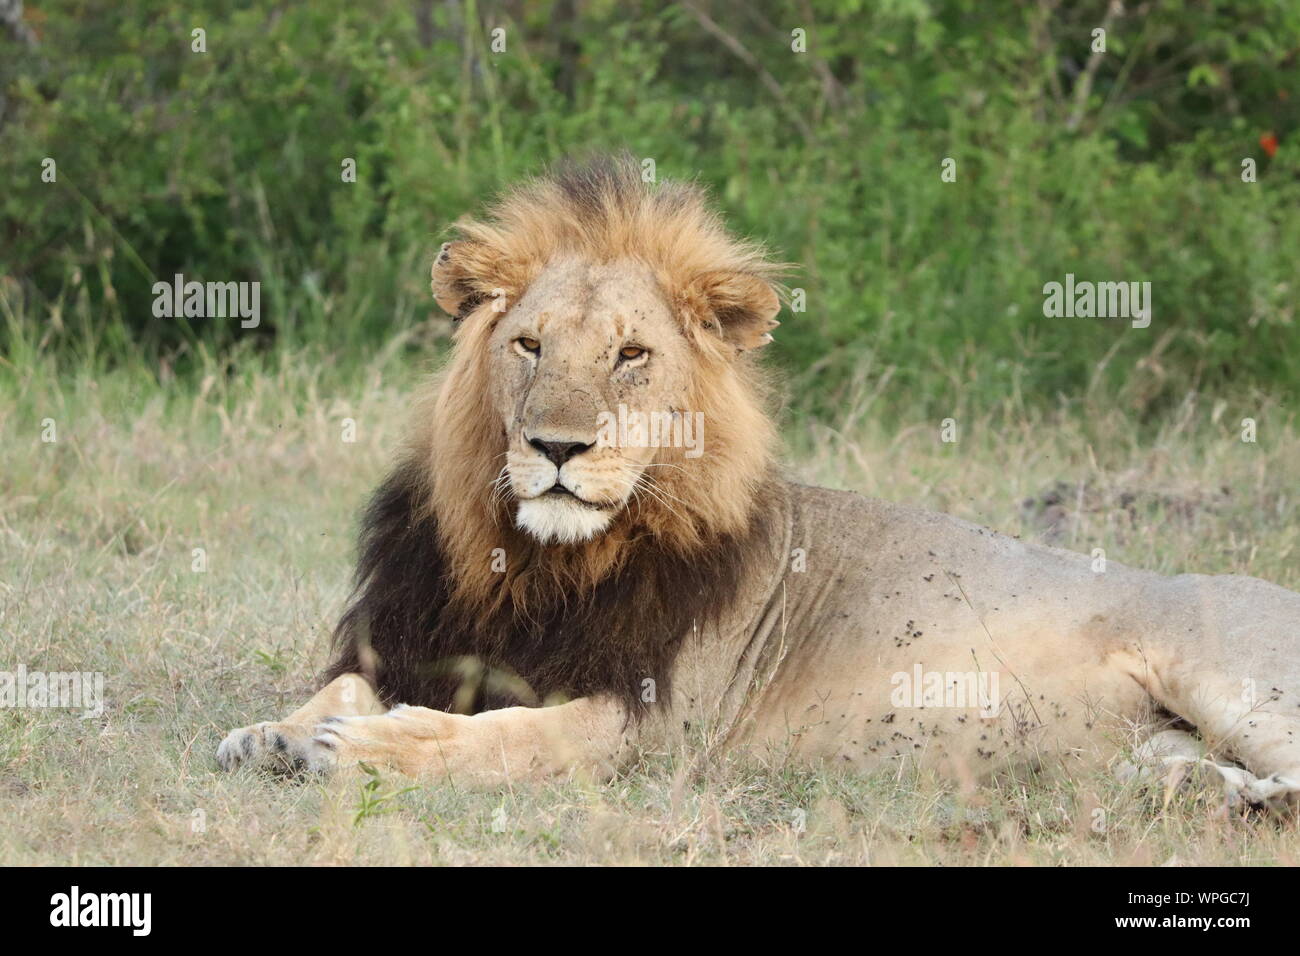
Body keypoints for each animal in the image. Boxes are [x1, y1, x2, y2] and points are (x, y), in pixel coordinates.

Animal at [215, 157, 1300, 806]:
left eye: (631, 356)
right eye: (529, 345)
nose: (557, 447)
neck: (537, 564)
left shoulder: (659, 726)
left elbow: (510, 738)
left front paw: (362, 749)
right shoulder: (422, 642)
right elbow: (347, 684)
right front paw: (271, 734)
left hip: (1231, 676)